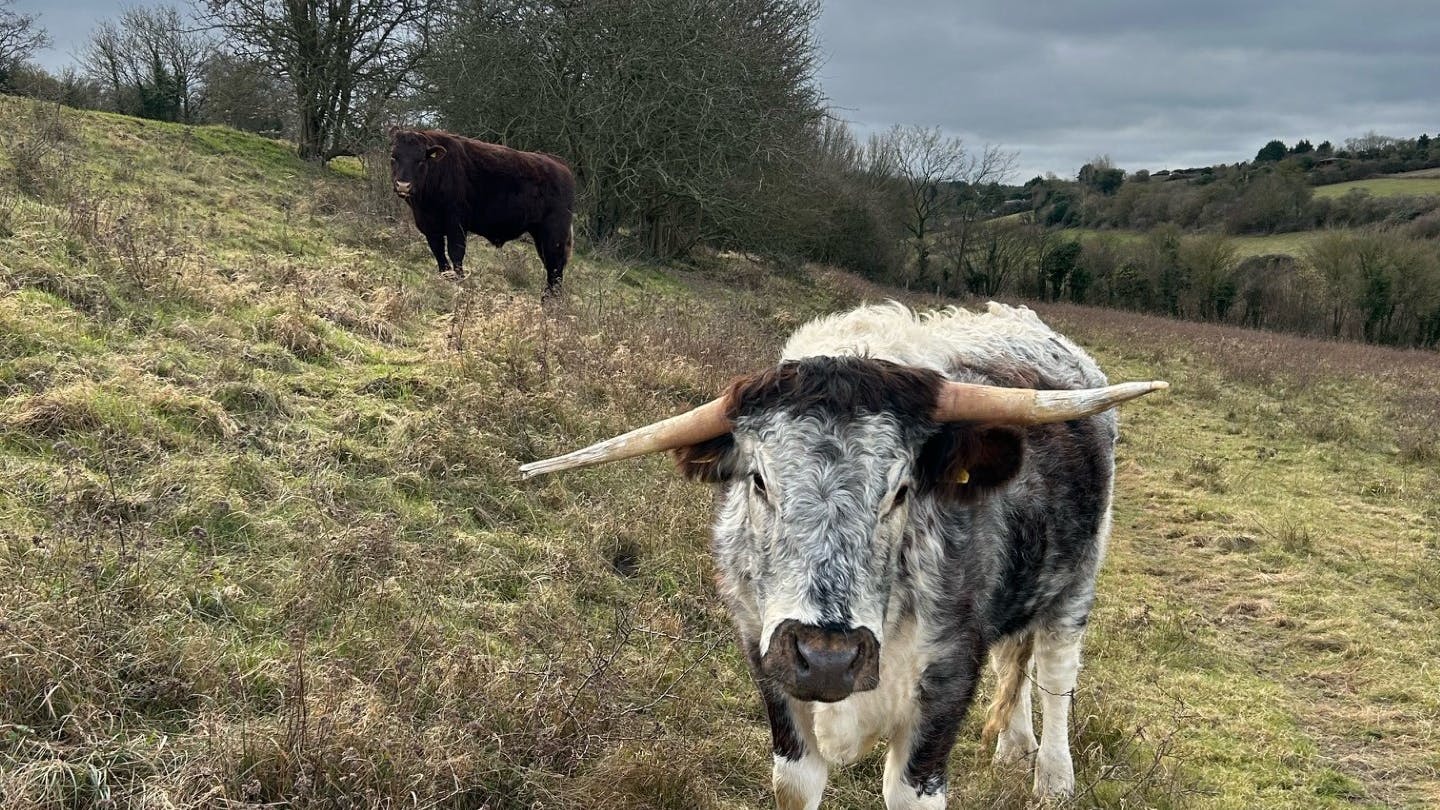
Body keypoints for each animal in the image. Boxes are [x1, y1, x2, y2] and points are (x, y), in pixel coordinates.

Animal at [388, 128, 576, 297]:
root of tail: (561, 165)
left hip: (554, 237)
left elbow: (456, 254)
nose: (403, 185)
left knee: (555, 269)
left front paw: (460, 282)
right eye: (393, 157)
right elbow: (440, 256)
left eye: (420, 160)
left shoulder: (456, 225)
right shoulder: (430, 228)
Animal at [520, 302, 1167, 809]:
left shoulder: (947, 680)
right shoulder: (769, 665)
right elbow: (796, 783)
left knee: (1055, 670)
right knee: (1019, 655)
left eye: (901, 490)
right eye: (759, 480)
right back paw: (1014, 746)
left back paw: (1052, 777)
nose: (828, 658)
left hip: (1077, 582)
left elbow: (909, 790)